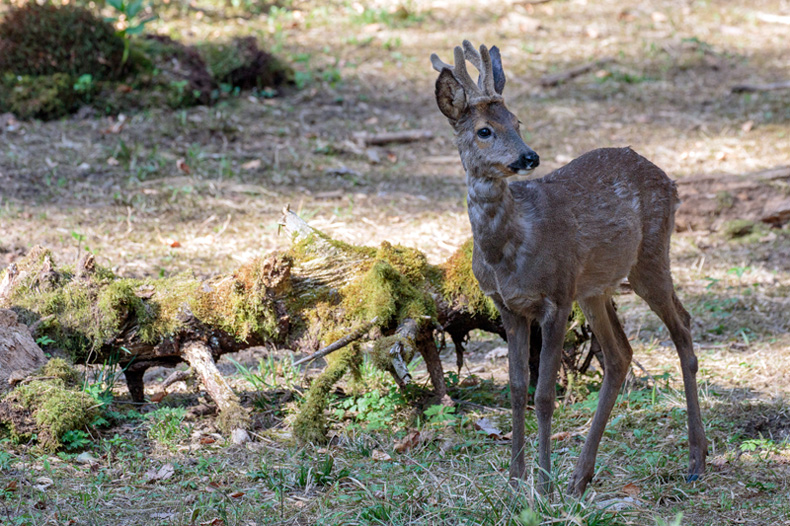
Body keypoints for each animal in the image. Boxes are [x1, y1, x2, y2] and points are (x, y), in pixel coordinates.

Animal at [434, 42, 712, 500]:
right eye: (484, 131)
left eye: (517, 121)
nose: (529, 156)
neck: (507, 253)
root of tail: (670, 181)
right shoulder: (509, 307)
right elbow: (517, 389)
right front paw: (515, 481)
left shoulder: (557, 297)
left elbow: (545, 394)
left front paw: (543, 486)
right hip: (595, 289)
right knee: (620, 354)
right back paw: (581, 476)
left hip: (649, 258)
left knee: (683, 327)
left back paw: (695, 461)